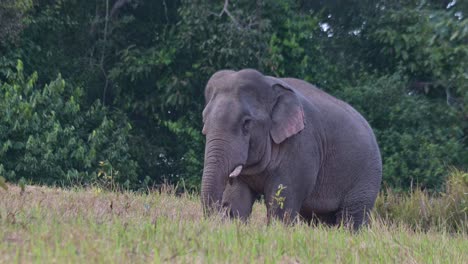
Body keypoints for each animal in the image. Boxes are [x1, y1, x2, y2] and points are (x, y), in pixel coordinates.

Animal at [199, 68, 382, 229]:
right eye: (204, 122)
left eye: (246, 123)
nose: (222, 210)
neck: (270, 85)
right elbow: (238, 198)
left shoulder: (300, 147)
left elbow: (282, 204)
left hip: (367, 177)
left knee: (352, 217)